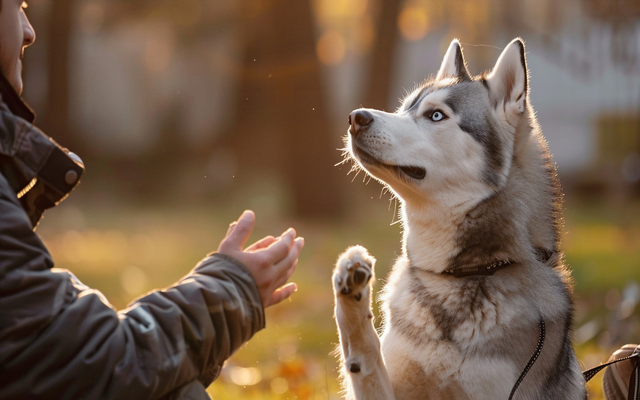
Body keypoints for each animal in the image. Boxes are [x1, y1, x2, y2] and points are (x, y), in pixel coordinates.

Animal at [332, 38, 588, 400]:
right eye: (404, 108)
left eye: (436, 115)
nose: (356, 117)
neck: (452, 276)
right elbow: (363, 353)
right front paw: (350, 285)